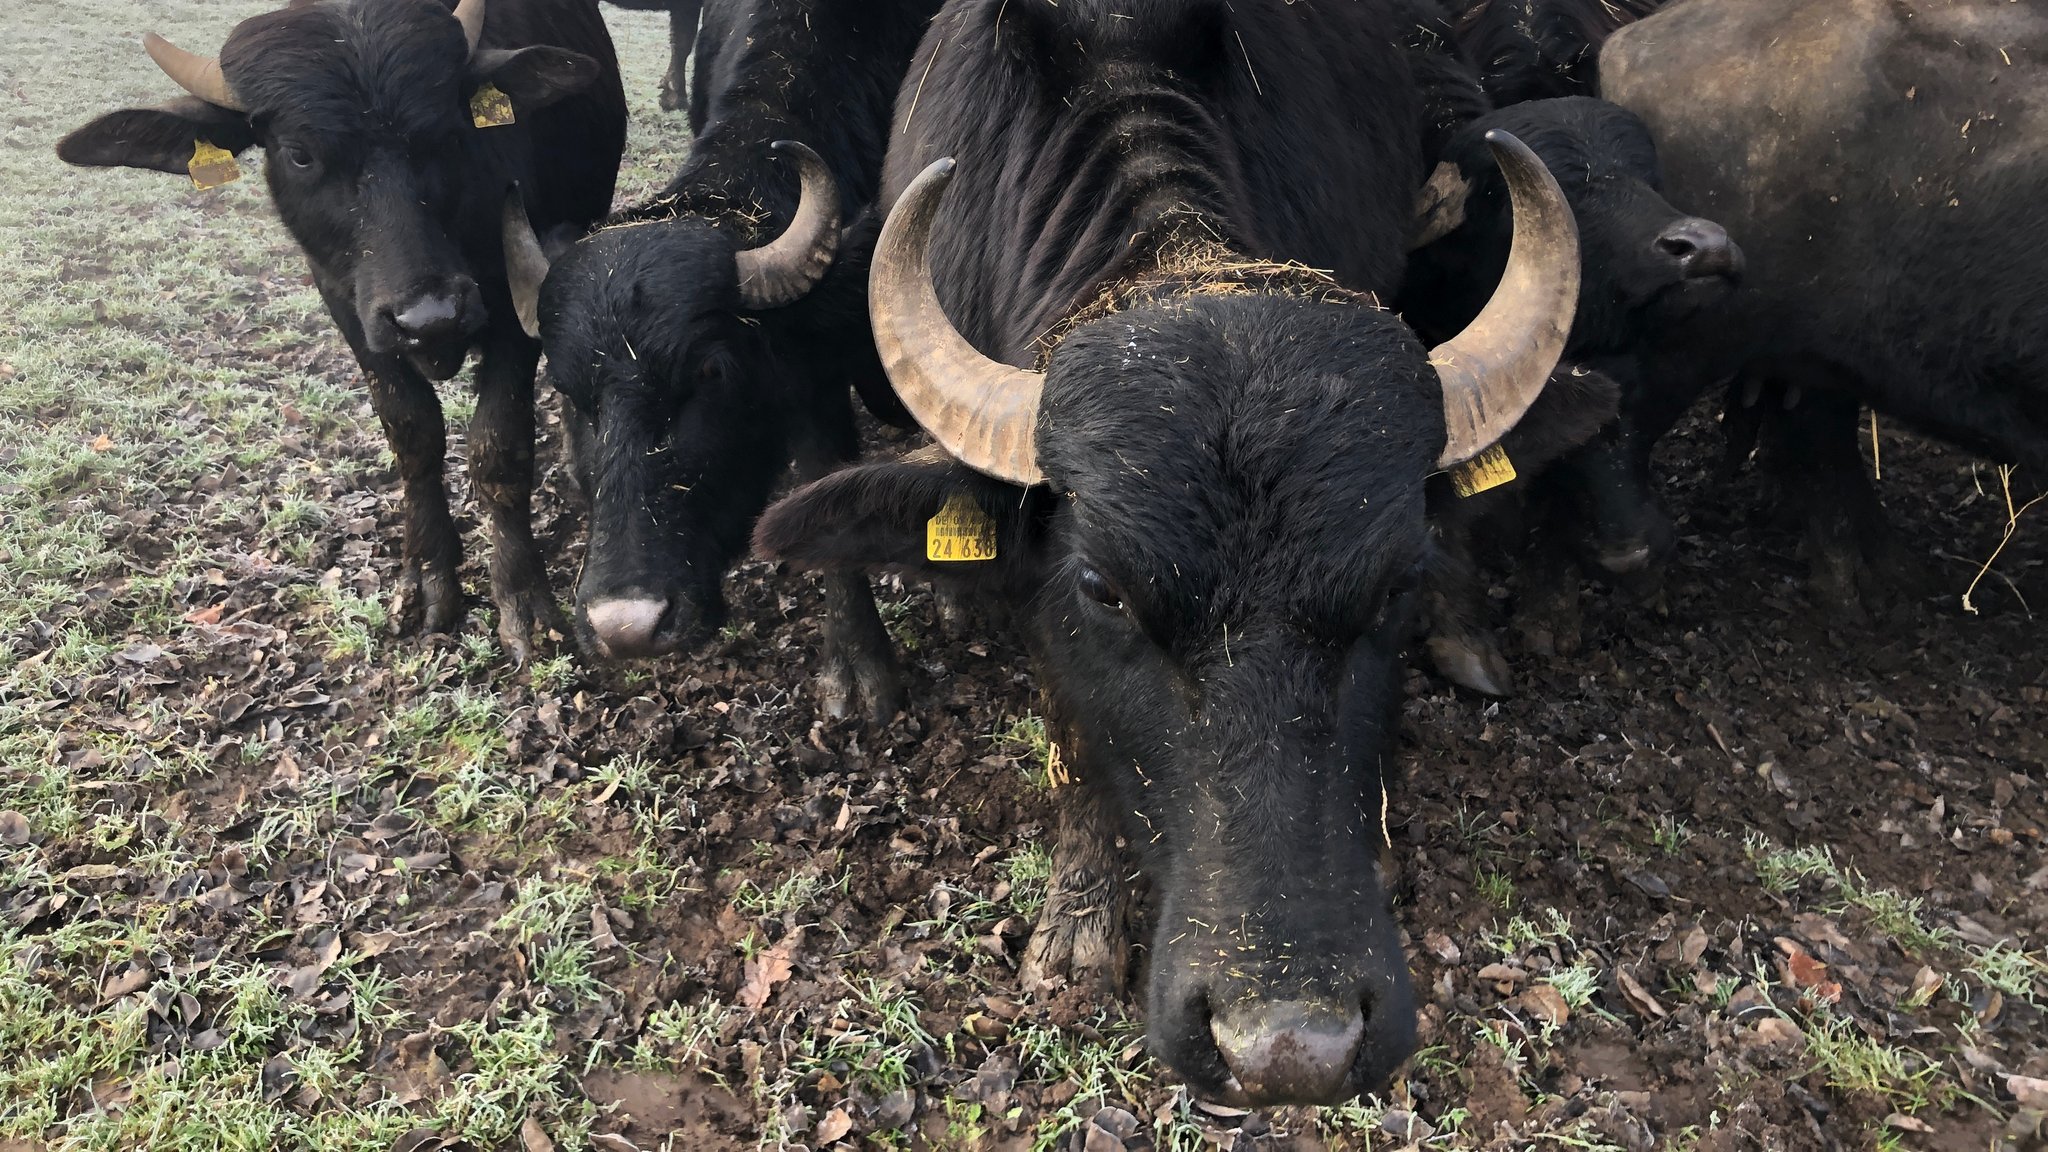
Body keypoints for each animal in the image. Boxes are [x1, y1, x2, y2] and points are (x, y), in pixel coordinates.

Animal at [59, 0, 626, 660]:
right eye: (301, 154)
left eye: (447, 134)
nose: (430, 316)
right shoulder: (347, 307)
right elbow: (412, 433)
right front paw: (428, 579)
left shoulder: (514, 299)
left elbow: (497, 447)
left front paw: (524, 602)